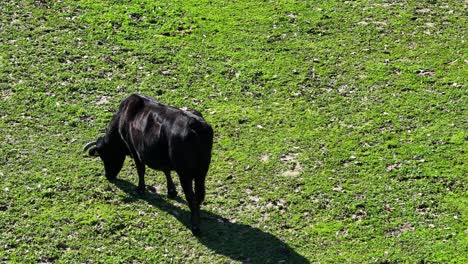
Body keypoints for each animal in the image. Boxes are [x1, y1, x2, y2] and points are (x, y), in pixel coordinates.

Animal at [84, 94, 214, 234]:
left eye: (105, 156)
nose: (107, 175)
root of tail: (196, 125)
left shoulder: (134, 150)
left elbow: (141, 170)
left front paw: (140, 189)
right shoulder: (163, 157)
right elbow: (166, 171)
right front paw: (171, 191)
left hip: (185, 173)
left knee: (191, 196)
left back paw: (195, 226)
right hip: (202, 169)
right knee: (199, 194)